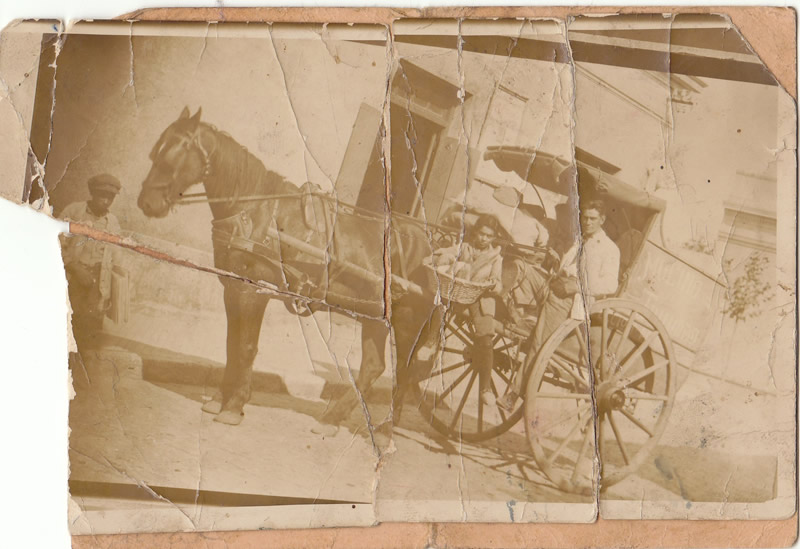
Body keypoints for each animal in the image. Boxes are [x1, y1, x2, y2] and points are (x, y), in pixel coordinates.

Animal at [138, 107, 434, 427]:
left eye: (173, 153)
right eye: (155, 150)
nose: (146, 202)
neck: (255, 211)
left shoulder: (253, 292)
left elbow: (245, 348)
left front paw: (234, 405)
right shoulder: (232, 288)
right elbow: (231, 344)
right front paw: (219, 399)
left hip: (406, 320)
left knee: (399, 370)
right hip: (377, 316)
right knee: (376, 366)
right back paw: (339, 418)